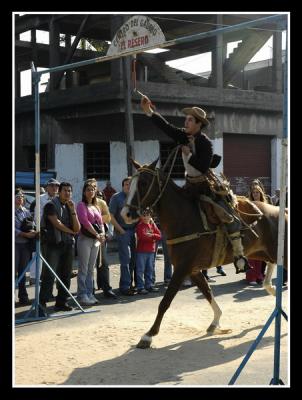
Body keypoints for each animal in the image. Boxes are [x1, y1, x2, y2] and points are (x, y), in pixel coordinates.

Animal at [121, 161, 288, 348]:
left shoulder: (182, 269)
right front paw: (215, 322)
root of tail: (282, 211)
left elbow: (165, 301)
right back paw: (271, 289)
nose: (126, 214)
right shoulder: (192, 270)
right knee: (269, 271)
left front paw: (149, 335)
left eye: (143, 183)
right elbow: (207, 292)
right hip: (264, 253)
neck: (184, 218)